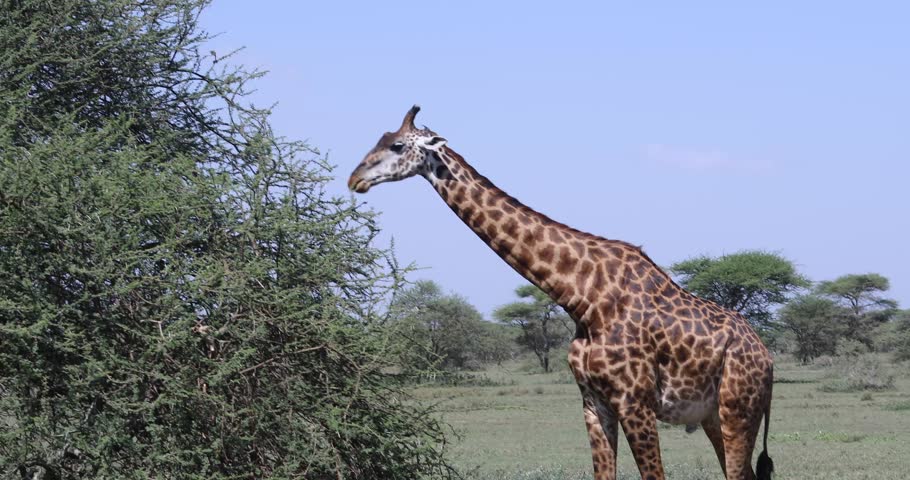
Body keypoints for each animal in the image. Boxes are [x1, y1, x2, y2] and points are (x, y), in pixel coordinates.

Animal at [350, 107, 776, 480]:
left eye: (397, 146)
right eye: (380, 138)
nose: (355, 178)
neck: (581, 297)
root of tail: (766, 356)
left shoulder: (635, 400)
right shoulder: (593, 400)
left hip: (737, 409)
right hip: (712, 416)